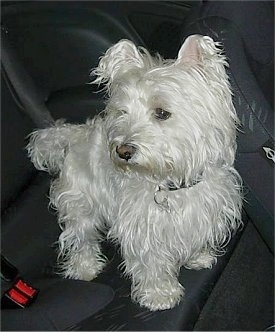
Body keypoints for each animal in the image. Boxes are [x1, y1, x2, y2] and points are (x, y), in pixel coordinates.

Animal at [27, 35, 244, 312]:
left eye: (162, 113)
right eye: (123, 112)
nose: (122, 151)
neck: (172, 181)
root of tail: (73, 135)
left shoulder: (204, 210)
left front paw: (198, 257)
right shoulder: (141, 226)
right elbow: (152, 264)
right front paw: (160, 295)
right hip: (80, 203)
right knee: (80, 237)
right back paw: (85, 268)